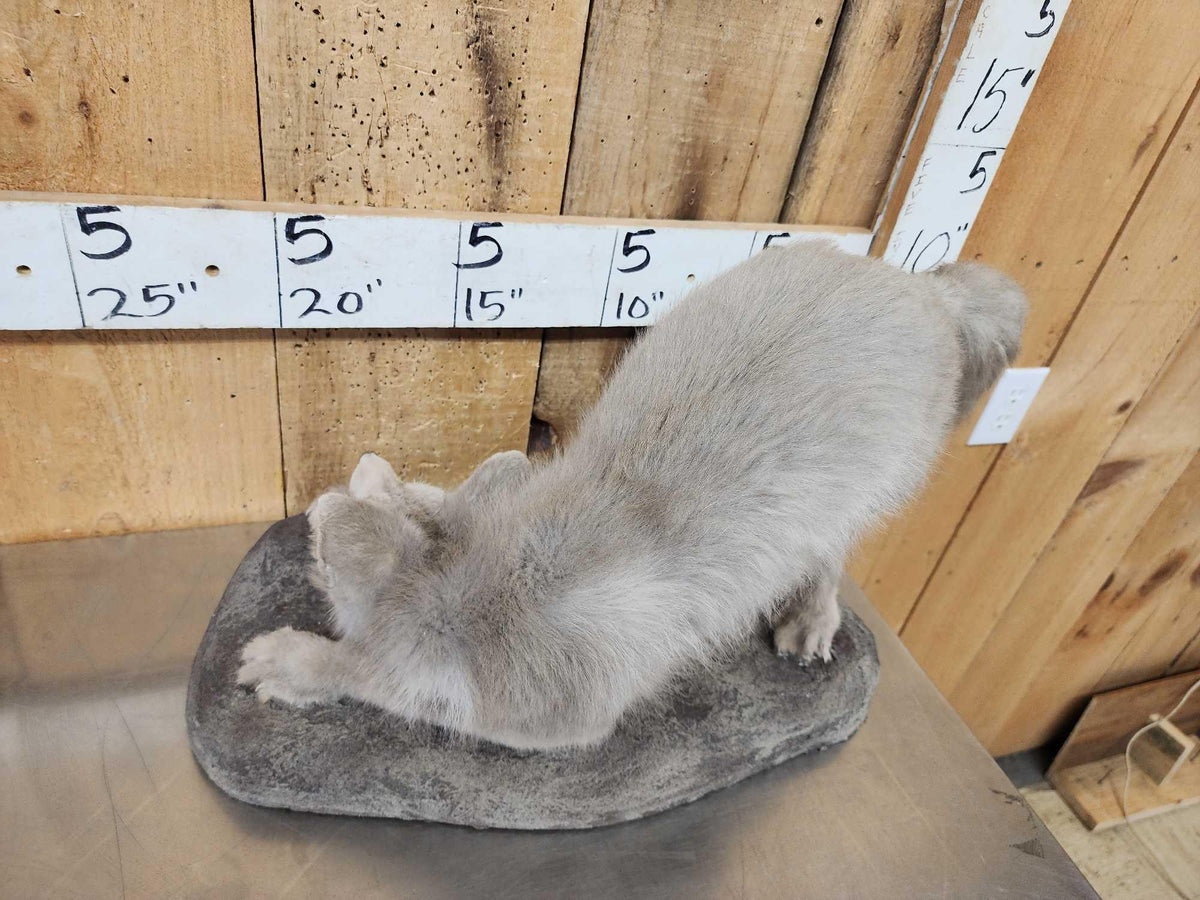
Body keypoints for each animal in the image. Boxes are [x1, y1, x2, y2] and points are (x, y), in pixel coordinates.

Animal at [238, 242, 1025, 750]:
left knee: (831, 556)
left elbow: (379, 677)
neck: (483, 569)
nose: (322, 503)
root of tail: (926, 289)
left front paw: (286, 663)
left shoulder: (556, 714)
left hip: (862, 495)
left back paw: (810, 618)